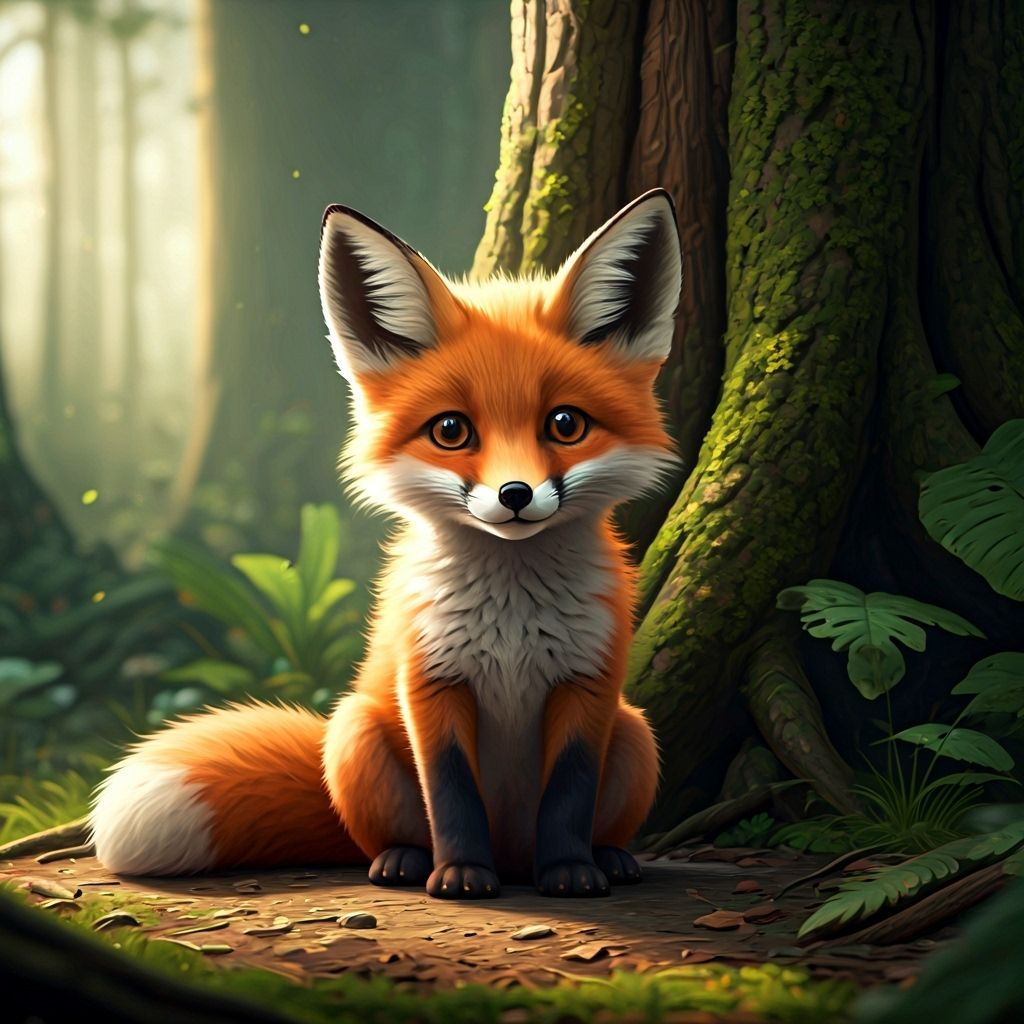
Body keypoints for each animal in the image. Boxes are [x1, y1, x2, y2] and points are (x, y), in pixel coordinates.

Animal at [90, 189, 683, 899]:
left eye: (565, 424)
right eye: (451, 431)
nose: (515, 494)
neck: (512, 621)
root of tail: (514, 853)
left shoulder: (588, 683)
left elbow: (569, 793)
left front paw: (569, 872)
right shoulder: (429, 681)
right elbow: (450, 793)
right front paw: (460, 875)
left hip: (636, 731)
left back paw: (609, 857)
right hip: (354, 729)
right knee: (382, 835)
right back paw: (407, 860)